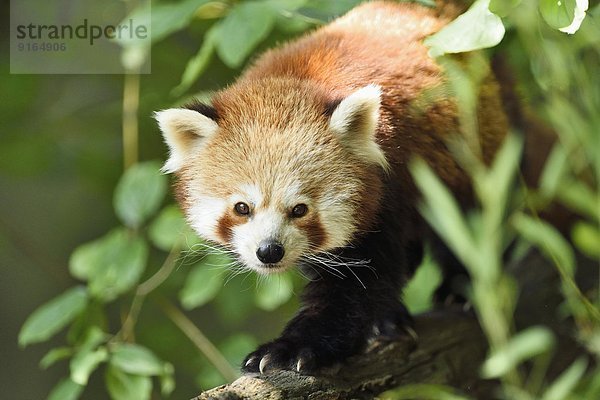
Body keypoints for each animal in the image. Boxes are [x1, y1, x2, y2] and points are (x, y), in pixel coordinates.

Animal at [157, 1, 508, 374]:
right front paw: (383, 319)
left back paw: (460, 288)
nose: (270, 251)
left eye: (299, 209)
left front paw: (290, 348)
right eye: (242, 207)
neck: (297, 79)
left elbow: (356, 286)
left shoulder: (387, 192)